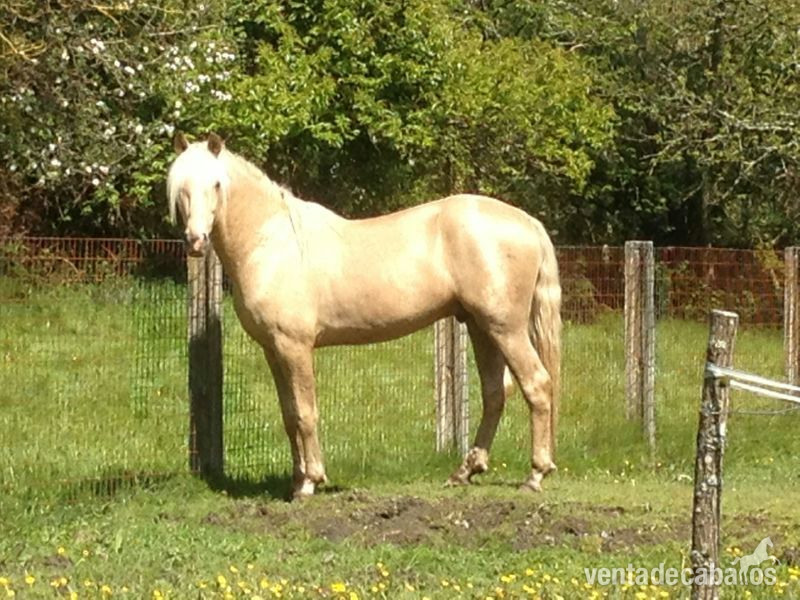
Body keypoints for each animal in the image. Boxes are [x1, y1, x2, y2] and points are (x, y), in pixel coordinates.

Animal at [166, 132, 562, 499]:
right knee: (495, 393)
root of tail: (528, 221)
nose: (196, 241)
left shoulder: (295, 347)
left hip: (506, 329)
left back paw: (535, 475)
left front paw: (310, 482)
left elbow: (306, 412)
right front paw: (295, 482)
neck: (272, 243)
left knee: (537, 384)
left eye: (216, 184)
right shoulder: (273, 350)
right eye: (181, 187)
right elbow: (290, 415)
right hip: (481, 328)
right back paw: (465, 472)